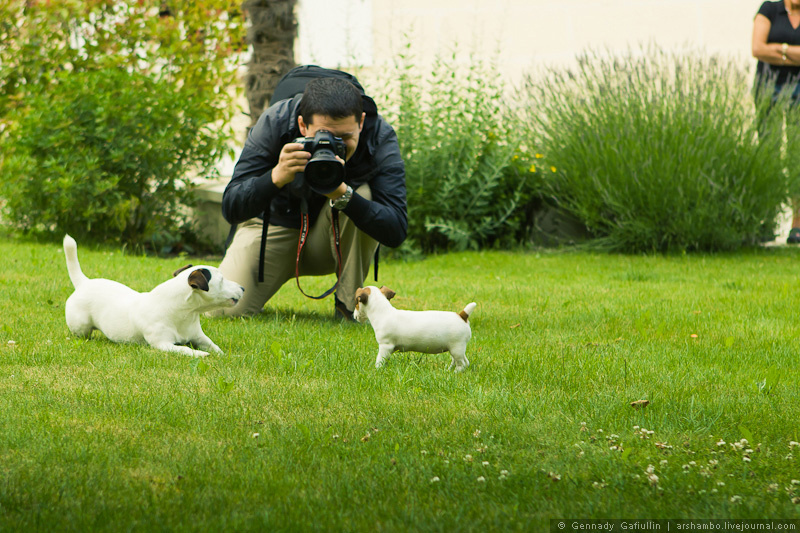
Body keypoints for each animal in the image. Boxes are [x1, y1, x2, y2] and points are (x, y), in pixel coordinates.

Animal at [63, 234, 244, 356]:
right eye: (222, 280)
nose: (243, 288)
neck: (183, 313)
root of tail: (84, 282)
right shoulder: (163, 344)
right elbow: (185, 349)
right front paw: (200, 354)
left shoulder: (199, 336)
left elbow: (214, 346)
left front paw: (223, 354)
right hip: (81, 327)